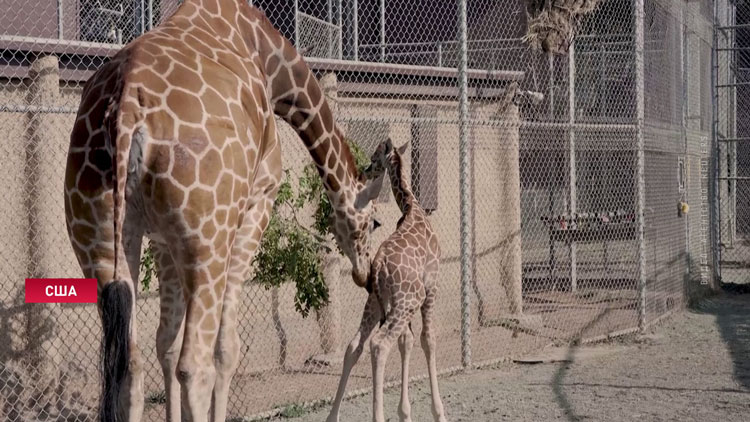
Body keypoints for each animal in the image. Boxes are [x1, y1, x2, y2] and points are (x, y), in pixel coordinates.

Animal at [63, 1, 388, 420]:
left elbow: (165, 344)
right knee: (194, 365)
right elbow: (224, 349)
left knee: (128, 367)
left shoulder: (161, 238)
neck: (273, 61)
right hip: (208, 241)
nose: (365, 274)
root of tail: (126, 110)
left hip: (101, 239)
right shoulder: (258, 200)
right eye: (374, 222)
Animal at [328, 139, 446, 422]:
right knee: (379, 344)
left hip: (376, 301)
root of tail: (379, 265)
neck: (412, 207)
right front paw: (438, 412)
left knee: (355, 345)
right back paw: (377, 416)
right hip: (408, 300)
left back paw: (332, 416)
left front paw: (405, 412)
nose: (365, 169)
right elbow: (427, 340)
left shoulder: (391, 302)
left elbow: (407, 342)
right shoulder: (432, 286)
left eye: (374, 158)